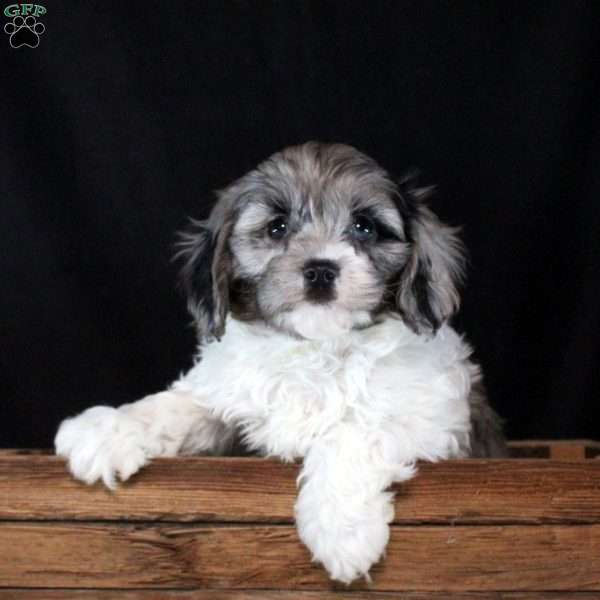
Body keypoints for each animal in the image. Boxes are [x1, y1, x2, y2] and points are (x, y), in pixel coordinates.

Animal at [57, 143, 506, 584]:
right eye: (277, 228)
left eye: (365, 227)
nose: (321, 269)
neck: (317, 348)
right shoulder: (230, 400)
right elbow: (177, 406)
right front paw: (106, 430)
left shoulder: (436, 424)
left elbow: (354, 431)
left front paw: (343, 530)